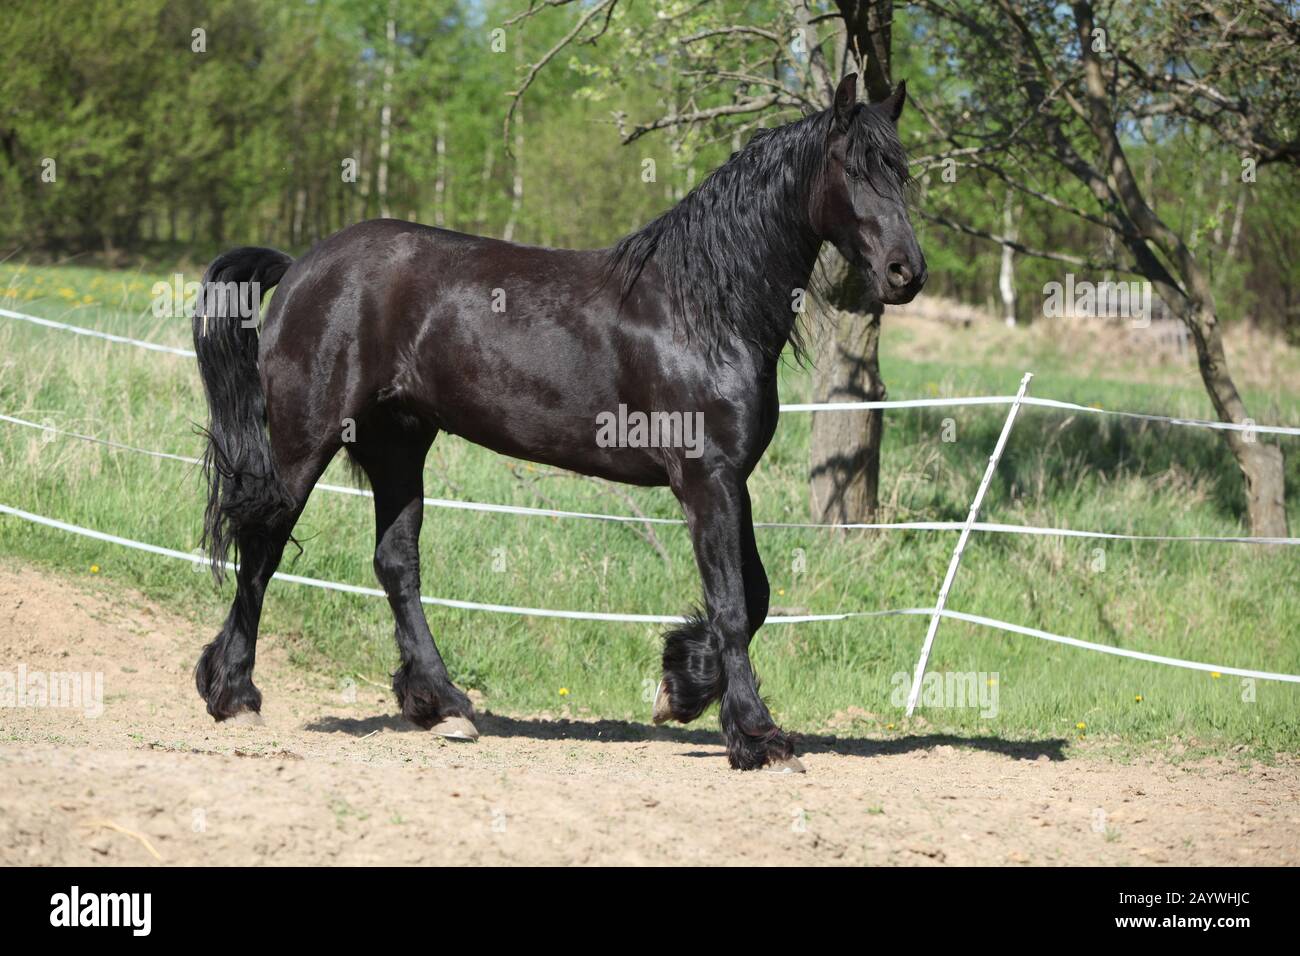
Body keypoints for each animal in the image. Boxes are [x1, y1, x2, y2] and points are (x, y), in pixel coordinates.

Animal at [191, 73, 926, 773]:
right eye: (854, 168)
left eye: (902, 169)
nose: (906, 272)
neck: (699, 310)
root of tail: (300, 268)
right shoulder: (706, 479)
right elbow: (735, 605)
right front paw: (756, 736)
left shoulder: (730, 478)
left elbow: (758, 594)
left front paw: (681, 685)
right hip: (304, 442)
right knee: (262, 545)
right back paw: (235, 694)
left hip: (397, 445)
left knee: (395, 564)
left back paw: (443, 706)